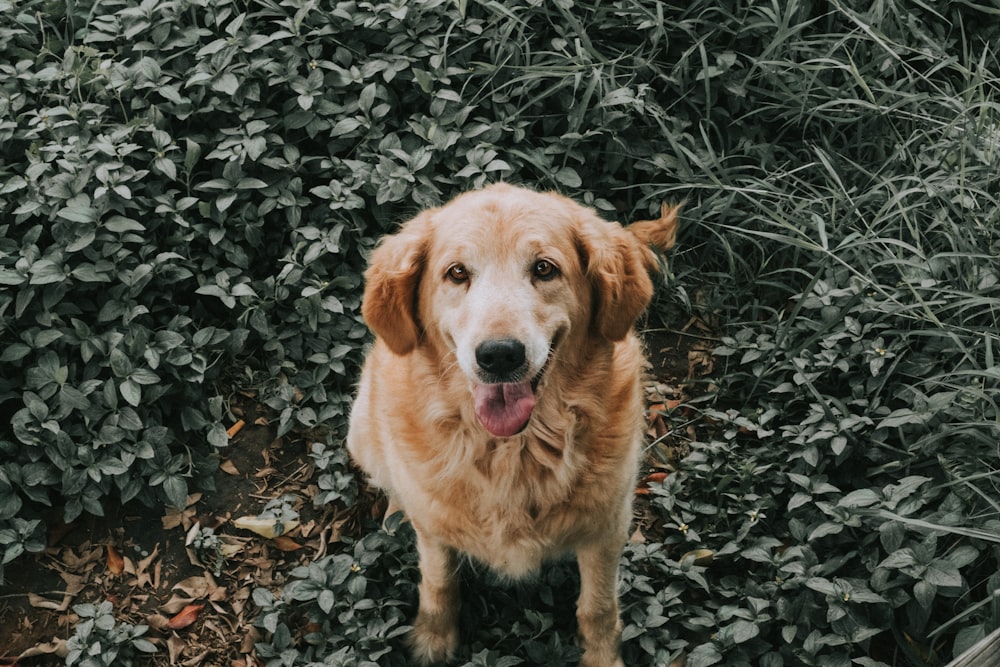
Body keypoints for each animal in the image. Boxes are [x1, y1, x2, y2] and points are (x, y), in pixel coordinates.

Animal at [346, 180, 680, 664]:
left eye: (544, 268)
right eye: (457, 273)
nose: (500, 355)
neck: (512, 452)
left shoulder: (606, 529)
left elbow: (598, 607)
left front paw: (603, 656)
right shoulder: (436, 537)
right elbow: (438, 582)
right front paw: (433, 639)